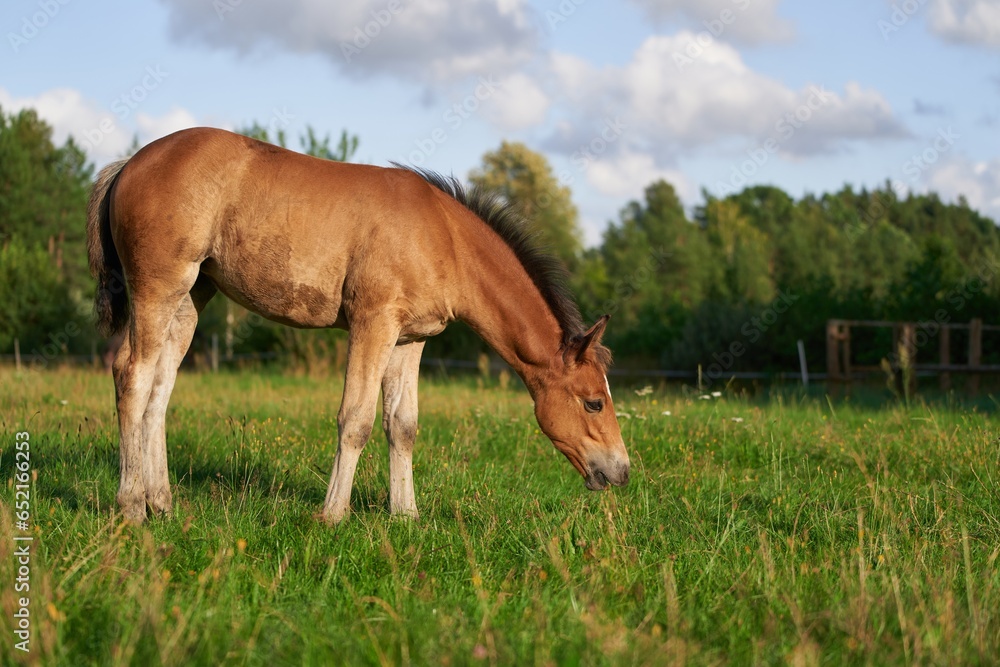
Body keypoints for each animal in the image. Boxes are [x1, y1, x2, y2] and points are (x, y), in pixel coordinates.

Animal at [86, 127, 630, 525]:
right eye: (593, 402)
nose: (622, 471)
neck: (443, 237)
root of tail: (129, 163)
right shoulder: (373, 323)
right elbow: (356, 419)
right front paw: (333, 514)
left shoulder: (410, 339)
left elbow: (402, 426)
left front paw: (406, 515)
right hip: (158, 287)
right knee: (132, 375)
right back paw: (132, 506)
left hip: (191, 299)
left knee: (160, 390)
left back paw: (162, 502)